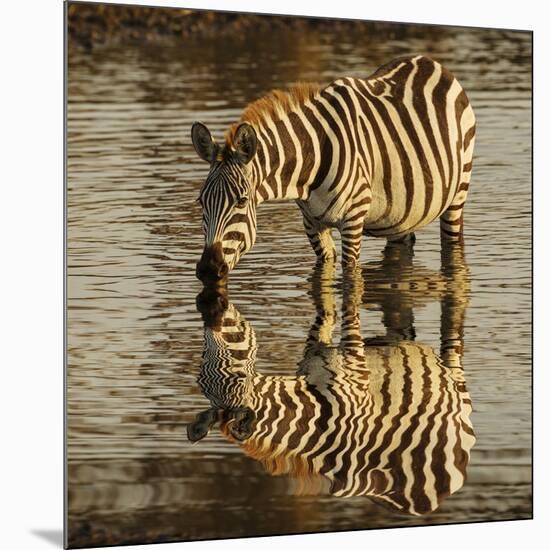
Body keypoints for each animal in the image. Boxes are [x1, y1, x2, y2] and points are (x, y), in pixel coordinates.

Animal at [193, 55, 474, 284]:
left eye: (241, 201)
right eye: (201, 202)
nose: (208, 269)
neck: (310, 165)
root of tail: (429, 61)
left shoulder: (353, 219)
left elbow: (351, 284)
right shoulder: (312, 224)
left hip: (458, 191)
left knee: (454, 244)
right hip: (401, 212)